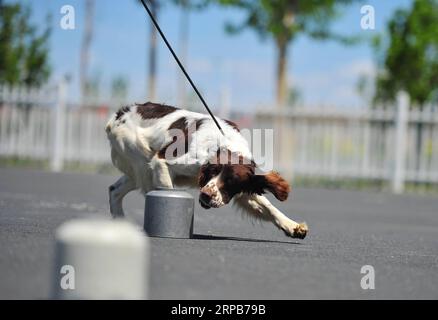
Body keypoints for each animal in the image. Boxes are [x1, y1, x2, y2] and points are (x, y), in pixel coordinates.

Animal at [105, 101, 308, 239]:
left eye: (232, 181)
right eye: (211, 172)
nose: (206, 195)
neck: (224, 144)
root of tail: (118, 115)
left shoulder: (244, 187)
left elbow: (268, 206)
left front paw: (293, 226)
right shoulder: (161, 162)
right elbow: (168, 191)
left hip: (137, 169)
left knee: (114, 190)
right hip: (141, 161)